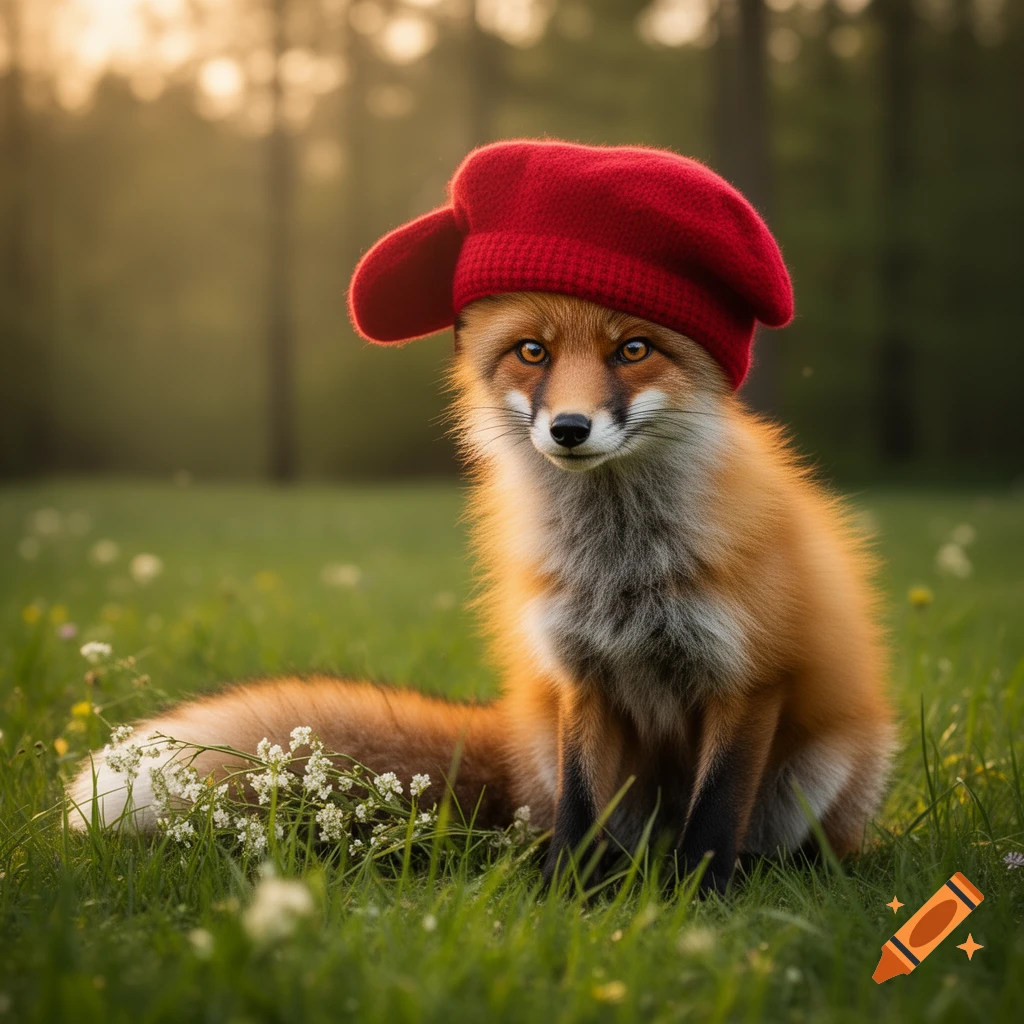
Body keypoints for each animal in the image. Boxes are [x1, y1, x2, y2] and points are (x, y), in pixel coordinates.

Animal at [69, 289, 895, 893]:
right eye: (533, 351)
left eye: (633, 349)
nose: (569, 428)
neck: (621, 568)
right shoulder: (581, 676)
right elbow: (580, 812)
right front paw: (566, 902)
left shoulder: (747, 679)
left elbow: (715, 814)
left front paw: (700, 903)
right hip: (566, 759)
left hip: (822, 770)